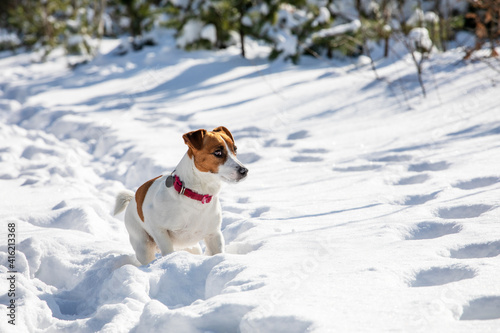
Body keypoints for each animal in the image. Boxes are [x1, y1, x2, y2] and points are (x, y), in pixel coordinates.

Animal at [112, 126, 247, 264]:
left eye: (235, 149)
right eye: (218, 152)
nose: (244, 170)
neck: (196, 195)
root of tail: (133, 198)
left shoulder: (214, 235)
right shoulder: (159, 229)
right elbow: (167, 249)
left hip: (192, 247)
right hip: (143, 244)